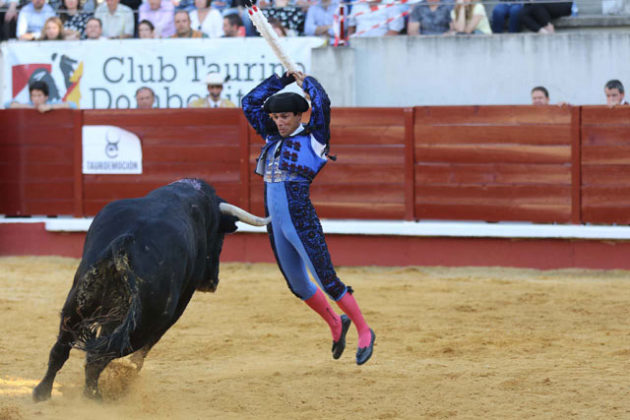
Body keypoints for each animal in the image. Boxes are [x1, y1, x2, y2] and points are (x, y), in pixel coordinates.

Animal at [32, 178, 270, 400]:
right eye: (219, 238)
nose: (212, 282)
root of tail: (125, 243)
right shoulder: (177, 306)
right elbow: (144, 351)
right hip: (141, 323)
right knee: (100, 357)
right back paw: (95, 396)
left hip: (79, 303)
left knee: (61, 348)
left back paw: (42, 393)